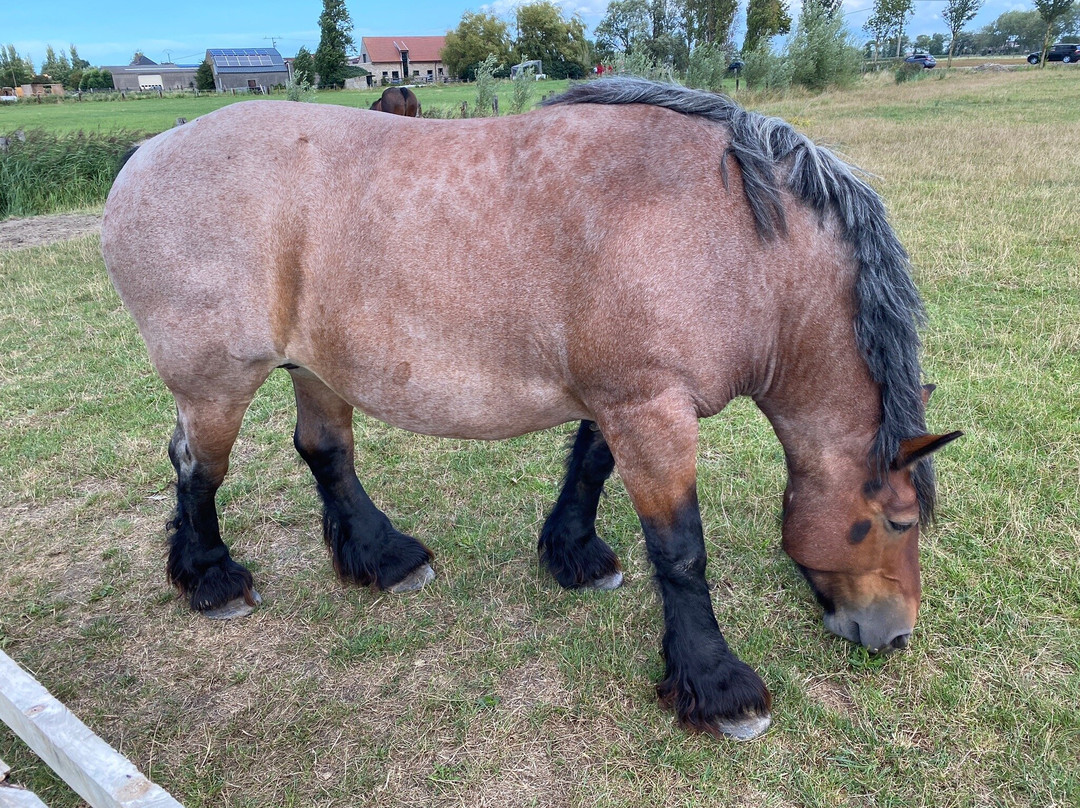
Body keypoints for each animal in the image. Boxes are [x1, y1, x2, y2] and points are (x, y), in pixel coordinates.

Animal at [101, 78, 963, 743]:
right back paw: (211, 579)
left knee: (324, 451)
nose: (895, 636)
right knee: (198, 469)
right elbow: (681, 550)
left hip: (314, 367)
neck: (733, 242)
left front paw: (573, 556)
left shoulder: (622, 399)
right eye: (897, 522)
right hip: (217, 384)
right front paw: (717, 686)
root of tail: (145, 156)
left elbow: (589, 466)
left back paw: (383, 558)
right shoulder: (651, 407)